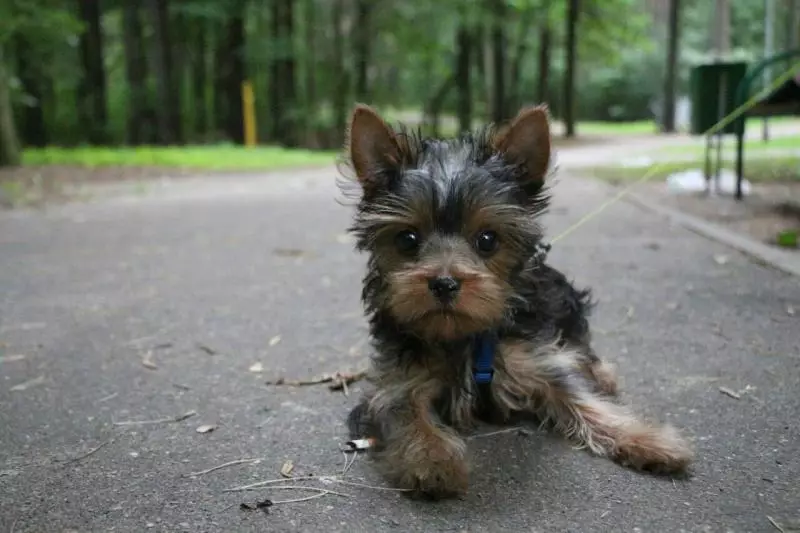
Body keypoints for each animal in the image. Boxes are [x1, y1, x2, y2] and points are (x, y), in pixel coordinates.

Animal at [340, 103, 692, 498]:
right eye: (407, 239)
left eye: (488, 239)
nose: (444, 283)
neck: (464, 337)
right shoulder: (398, 383)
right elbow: (404, 413)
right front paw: (433, 459)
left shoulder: (538, 360)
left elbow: (581, 397)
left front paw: (646, 439)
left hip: (566, 304)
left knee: (581, 347)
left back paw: (602, 374)